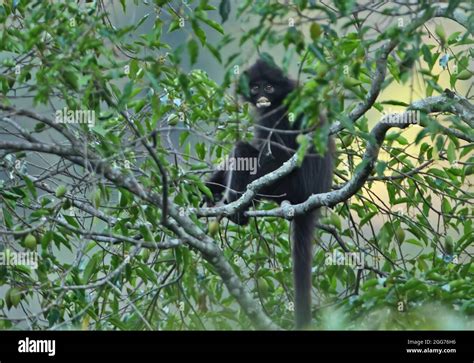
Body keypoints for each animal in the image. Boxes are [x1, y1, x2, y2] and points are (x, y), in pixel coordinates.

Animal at [206, 59, 334, 330]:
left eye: (269, 87)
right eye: (255, 87)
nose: (262, 97)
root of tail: (308, 197)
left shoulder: (280, 114)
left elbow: (279, 155)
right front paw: (207, 187)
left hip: (286, 185)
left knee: (243, 150)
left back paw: (237, 207)